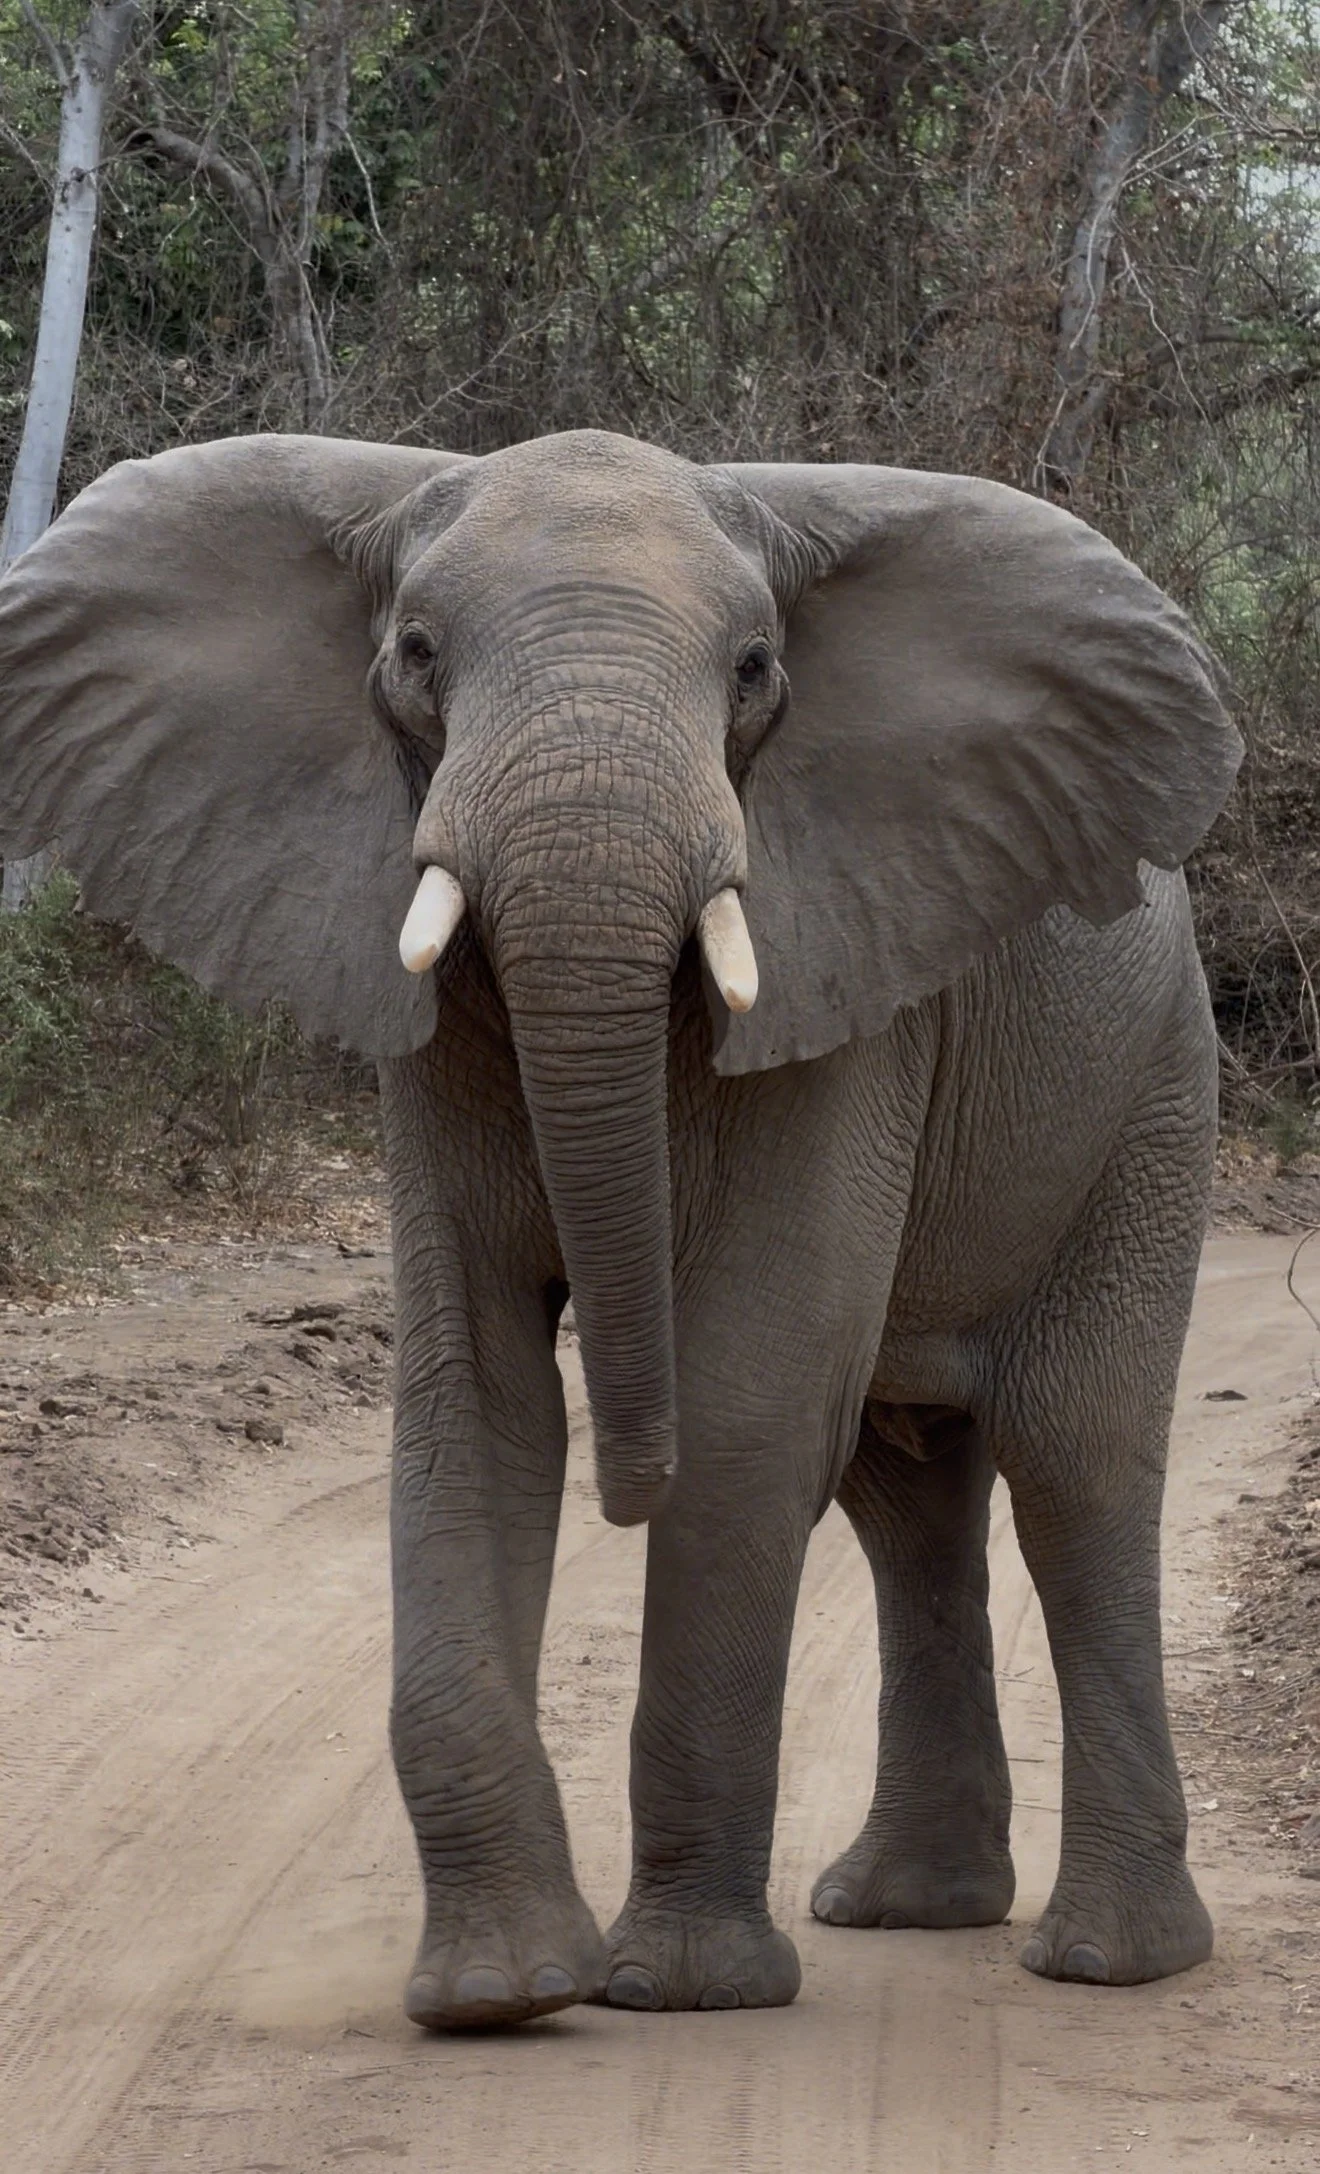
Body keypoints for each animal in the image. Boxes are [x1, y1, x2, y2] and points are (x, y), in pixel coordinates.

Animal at [0, 428, 1240, 2028]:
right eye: (413, 653)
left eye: (757, 670)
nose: (625, 1480)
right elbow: (474, 1395)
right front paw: (502, 1993)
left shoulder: (841, 993)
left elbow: (750, 1396)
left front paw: (682, 1990)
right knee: (906, 1494)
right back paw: (902, 1908)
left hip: (1151, 1092)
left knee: (1074, 1458)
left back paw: (1105, 1961)